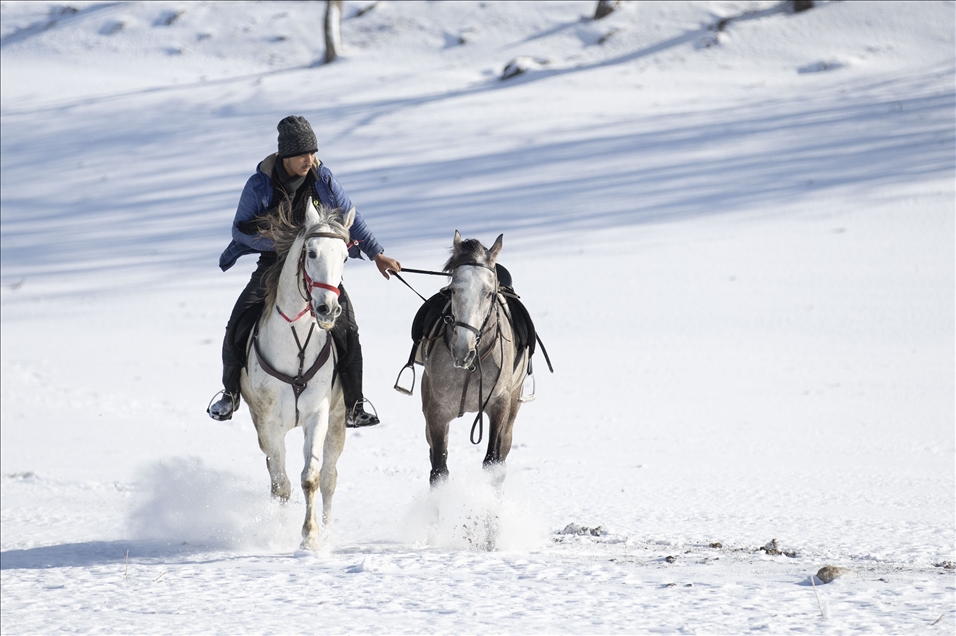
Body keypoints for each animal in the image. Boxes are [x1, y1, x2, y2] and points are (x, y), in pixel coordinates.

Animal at [243, 201, 354, 548]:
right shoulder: (266, 423)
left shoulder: (318, 414)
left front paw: (310, 537)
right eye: (312, 253)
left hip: (338, 420)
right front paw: (281, 535)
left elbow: (311, 478)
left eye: (345, 256)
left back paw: (329, 530)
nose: (329, 309)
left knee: (330, 478)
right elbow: (280, 485)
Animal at [420, 231, 532, 484]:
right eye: (453, 289)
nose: (463, 350)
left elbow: (493, 462)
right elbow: (438, 470)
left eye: (489, 293)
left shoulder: (499, 404)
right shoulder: (437, 412)